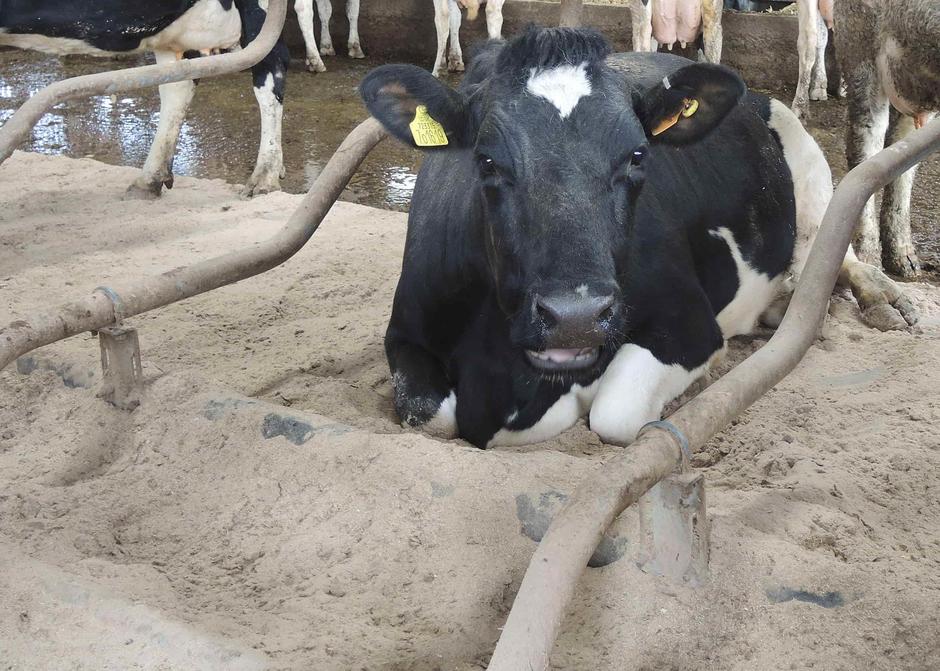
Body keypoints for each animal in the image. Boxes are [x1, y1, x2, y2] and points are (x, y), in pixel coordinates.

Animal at [358, 23, 912, 448]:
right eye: (486, 161)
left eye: (637, 156)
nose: (576, 318)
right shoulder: (404, 331)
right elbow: (430, 414)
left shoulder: (689, 323)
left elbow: (615, 414)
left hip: (811, 168)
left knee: (832, 250)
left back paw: (882, 300)